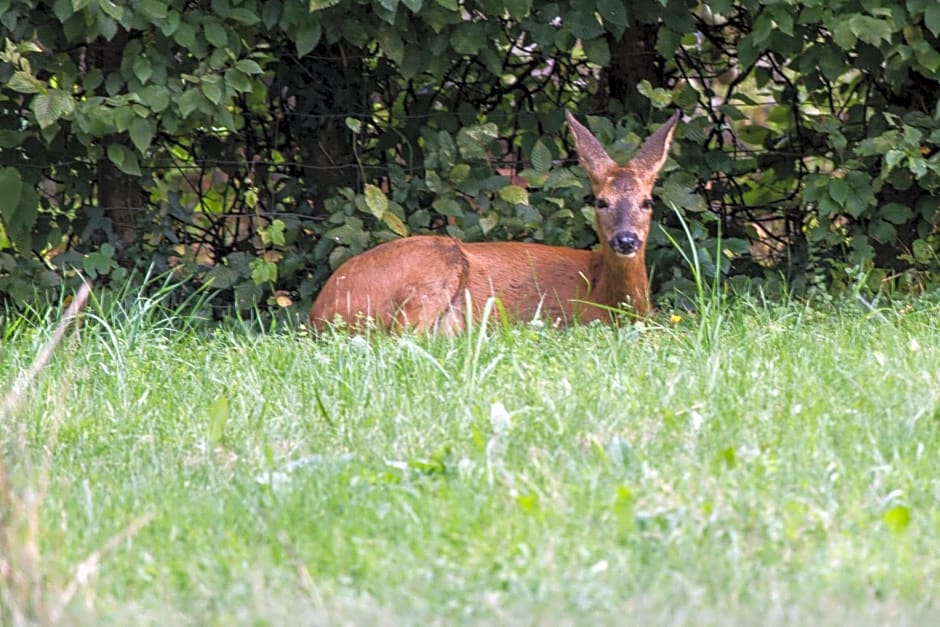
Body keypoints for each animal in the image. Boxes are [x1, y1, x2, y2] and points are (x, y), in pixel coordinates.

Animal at [310, 109, 684, 334]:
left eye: (647, 201)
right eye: (601, 201)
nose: (626, 240)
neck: (606, 295)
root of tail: (319, 312)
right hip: (436, 266)